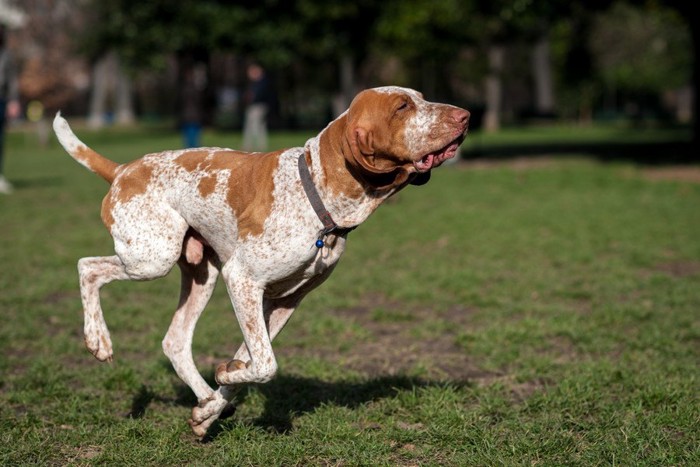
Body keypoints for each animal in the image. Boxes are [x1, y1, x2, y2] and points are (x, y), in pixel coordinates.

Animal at [54, 86, 470, 436]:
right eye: (402, 107)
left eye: (421, 97)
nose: (465, 116)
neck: (316, 193)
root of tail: (123, 170)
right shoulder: (243, 279)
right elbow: (266, 365)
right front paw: (223, 382)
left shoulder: (282, 301)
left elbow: (249, 361)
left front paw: (211, 407)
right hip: (152, 259)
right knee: (87, 266)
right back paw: (98, 340)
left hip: (201, 276)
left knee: (174, 342)